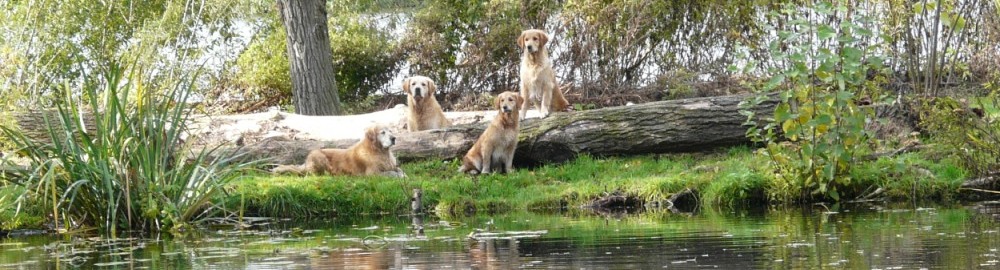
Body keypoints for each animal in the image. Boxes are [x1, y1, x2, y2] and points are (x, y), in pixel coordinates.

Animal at [274, 125, 406, 178]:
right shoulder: (372, 173)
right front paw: (398, 176)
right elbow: (390, 173)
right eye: (382, 132)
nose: (394, 138)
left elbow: (399, 170)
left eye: (390, 131)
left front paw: (403, 174)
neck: (381, 152)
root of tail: (306, 162)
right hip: (318, 156)